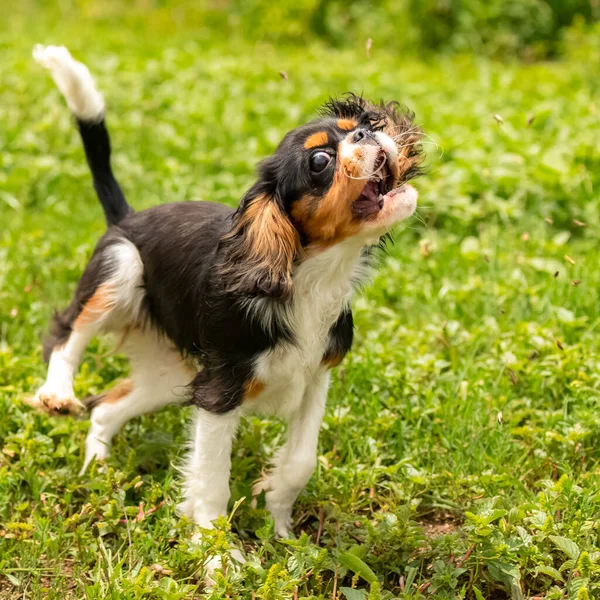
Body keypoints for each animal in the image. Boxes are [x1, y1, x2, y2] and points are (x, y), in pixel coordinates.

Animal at [32, 44, 424, 536]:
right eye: (320, 162)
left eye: (363, 126)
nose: (371, 132)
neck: (312, 277)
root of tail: (127, 218)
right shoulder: (219, 393)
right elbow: (212, 479)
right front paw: (215, 547)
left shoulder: (314, 377)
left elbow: (302, 460)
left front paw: (277, 515)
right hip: (121, 270)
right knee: (68, 334)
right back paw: (58, 395)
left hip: (174, 376)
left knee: (106, 406)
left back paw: (98, 468)